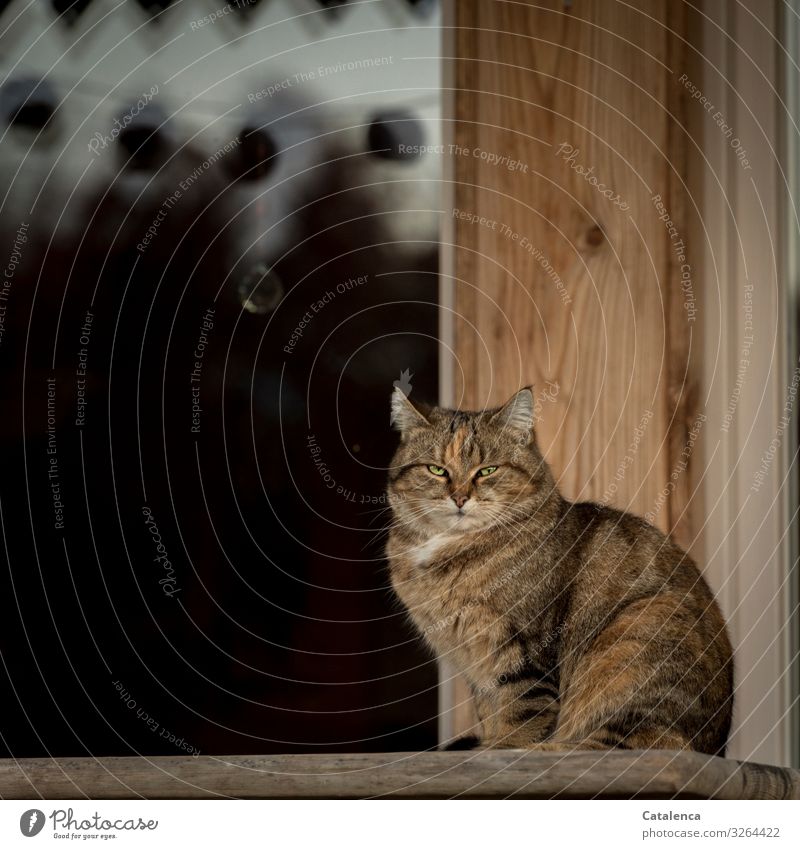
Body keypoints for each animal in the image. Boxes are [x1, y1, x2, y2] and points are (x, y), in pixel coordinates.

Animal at [384, 384, 736, 748]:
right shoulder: (476, 665)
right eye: (437, 470)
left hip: (634, 643)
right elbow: (491, 714)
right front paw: (488, 745)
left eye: (487, 471)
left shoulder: (524, 651)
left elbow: (519, 719)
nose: (459, 498)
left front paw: (502, 749)